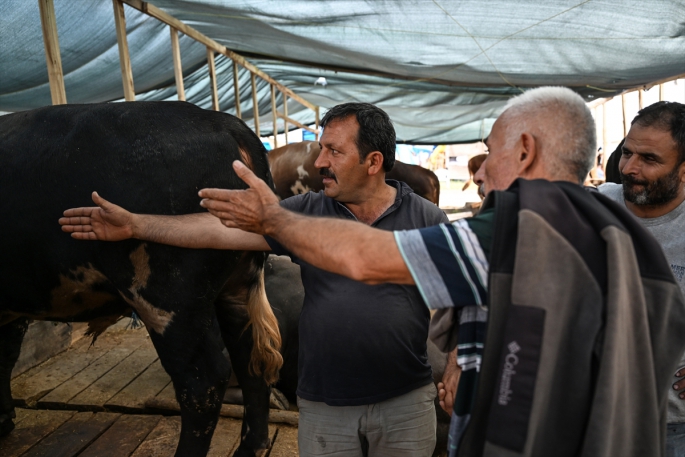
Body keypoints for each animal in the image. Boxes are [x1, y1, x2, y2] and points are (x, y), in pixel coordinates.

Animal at [0, 102, 280, 456]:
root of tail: (224, 122)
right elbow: (7, 357)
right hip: (237, 286)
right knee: (250, 361)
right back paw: (250, 447)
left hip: (169, 295)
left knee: (203, 379)